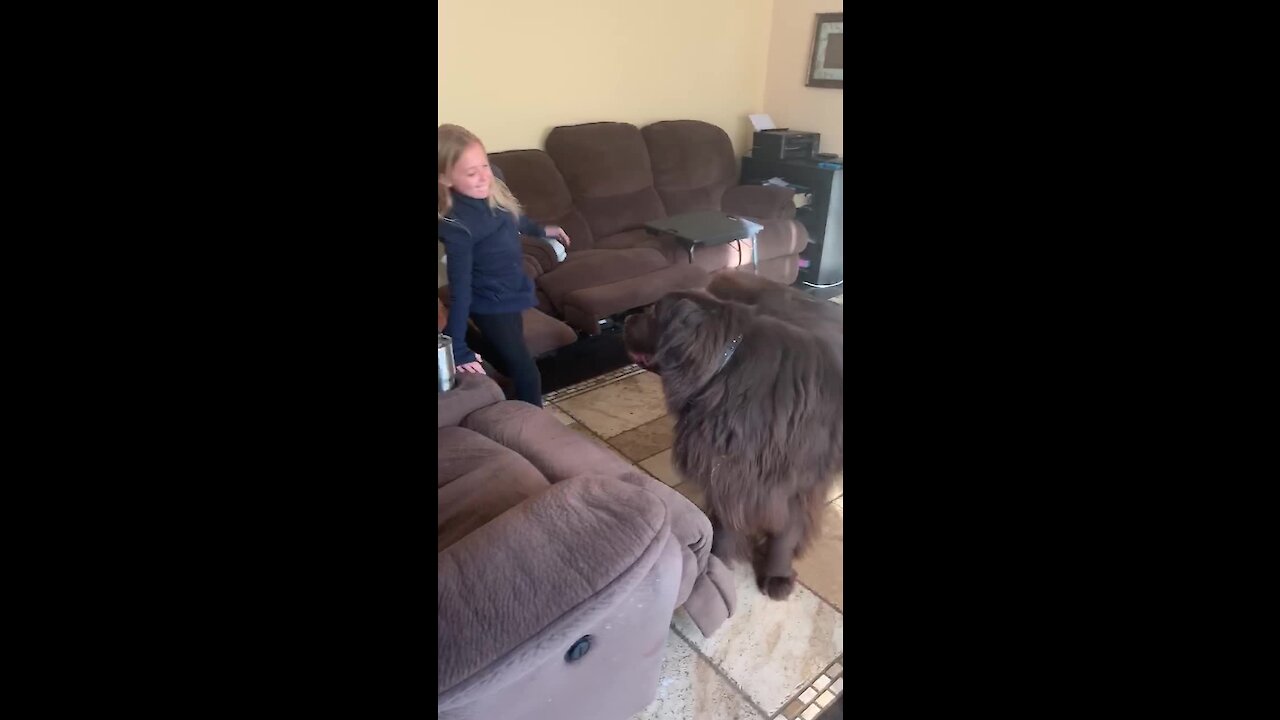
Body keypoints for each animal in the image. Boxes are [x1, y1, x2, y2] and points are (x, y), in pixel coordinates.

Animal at [624, 271, 844, 597]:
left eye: (653, 313)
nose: (627, 318)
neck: (723, 372)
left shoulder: (792, 484)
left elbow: (785, 530)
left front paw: (777, 574)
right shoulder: (726, 467)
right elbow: (725, 522)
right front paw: (715, 560)